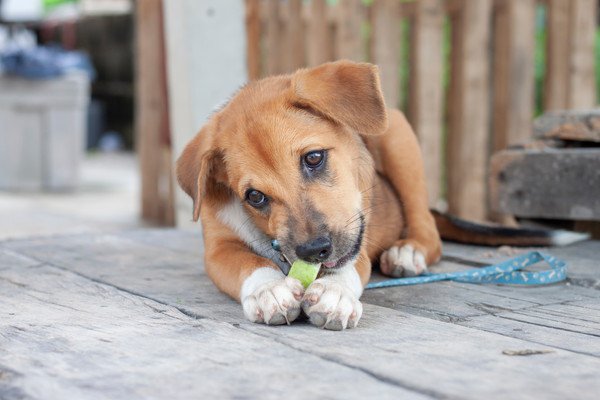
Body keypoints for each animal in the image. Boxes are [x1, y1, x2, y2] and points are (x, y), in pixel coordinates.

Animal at [176, 58, 442, 328]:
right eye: (255, 196)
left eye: (314, 157)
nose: (314, 251)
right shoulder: (218, 248)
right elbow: (248, 262)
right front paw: (269, 289)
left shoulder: (356, 243)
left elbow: (351, 263)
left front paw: (335, 291)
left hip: (398, 137)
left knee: (427, 226)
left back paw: (407, 252)